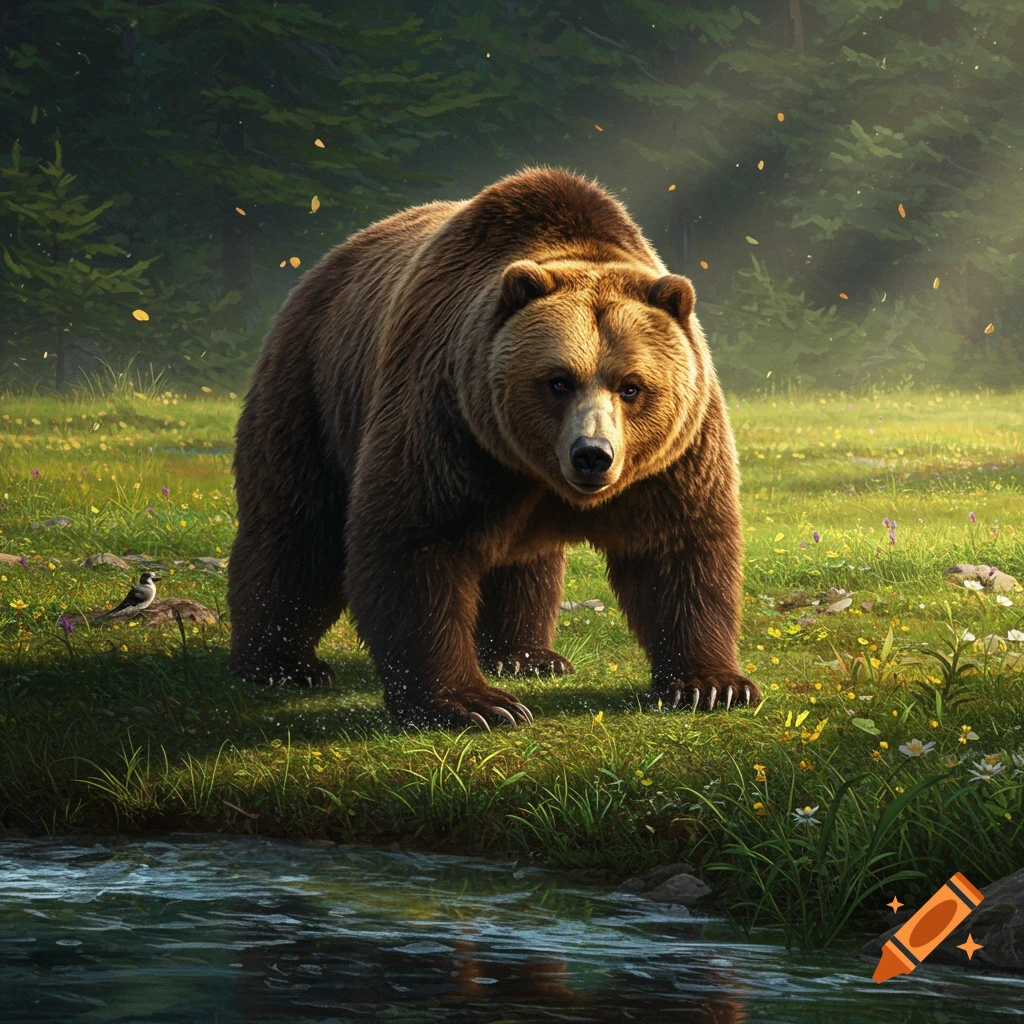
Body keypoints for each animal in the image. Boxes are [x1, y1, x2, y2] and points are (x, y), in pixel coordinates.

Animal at [227, 166, 760, 729]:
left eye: (631, 386)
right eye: (558, 381)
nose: (592, 454)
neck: (534, 470)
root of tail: (326, 262)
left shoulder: (673, 456)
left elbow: (681, 547)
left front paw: (712, 685)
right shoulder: (448, 419)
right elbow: (415, 539)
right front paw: (473, 703)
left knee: (524, 565)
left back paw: (526, 654)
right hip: (312, 385)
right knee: (298, 527)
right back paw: (280, 663)